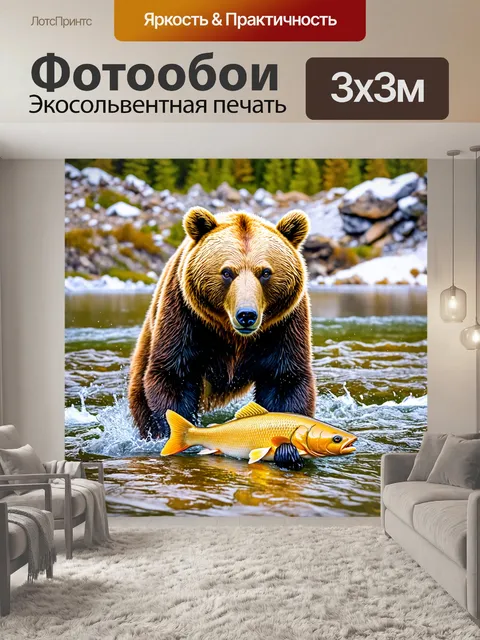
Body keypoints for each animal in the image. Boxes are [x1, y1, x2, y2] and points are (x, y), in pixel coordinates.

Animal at [128, 207, 316, 439]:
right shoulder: (185, 318)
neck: (233, 336)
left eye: (265, 272)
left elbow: (285, 381)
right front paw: (171, 429)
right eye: (227, 272)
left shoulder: (284, 327)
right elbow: (174, 375)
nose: (246, 315)